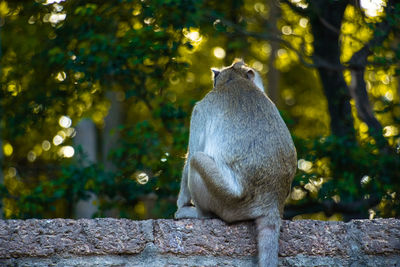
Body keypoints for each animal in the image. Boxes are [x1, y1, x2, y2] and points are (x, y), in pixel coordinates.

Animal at [175, 59, 296, 267]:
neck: (235, 79)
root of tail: (271, 201)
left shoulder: (200, 109)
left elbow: (192, 153)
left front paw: (180, 205)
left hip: (228, 200)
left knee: (197, 159)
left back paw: (199, 214)